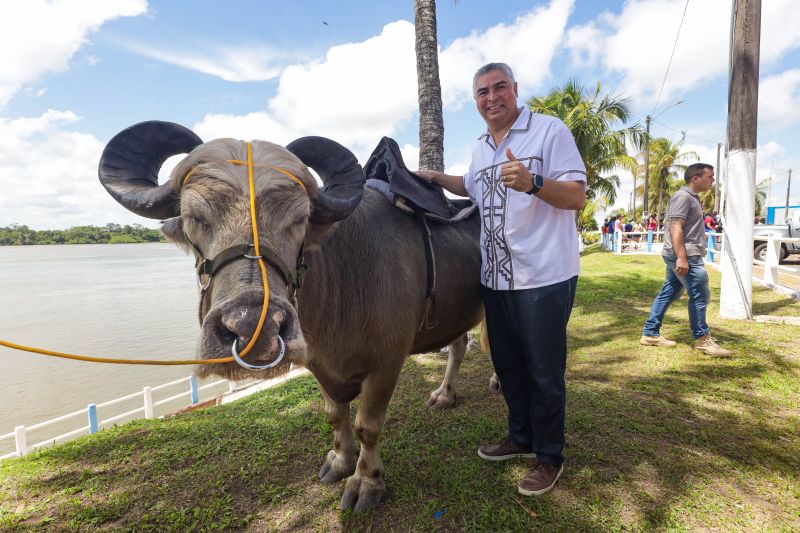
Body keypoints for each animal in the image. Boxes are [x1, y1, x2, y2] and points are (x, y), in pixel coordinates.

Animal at [95, 121, 482, 512]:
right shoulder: (318, 362)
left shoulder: (387, 362)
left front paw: (366, 482)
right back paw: (445, 395)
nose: (254, 326)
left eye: (300, 219)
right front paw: (339, 461)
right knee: (459, 345)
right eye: (194, 218)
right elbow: (334, 414)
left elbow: (367, 426)